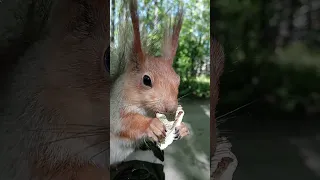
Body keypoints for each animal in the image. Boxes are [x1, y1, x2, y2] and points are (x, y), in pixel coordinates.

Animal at [110, 0, 188, 165]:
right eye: (146, 80)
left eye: (178, 79)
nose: (171, 108)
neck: (145, 110)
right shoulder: (114, 108)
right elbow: (122, 123)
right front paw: (151, 125)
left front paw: (182, 128)